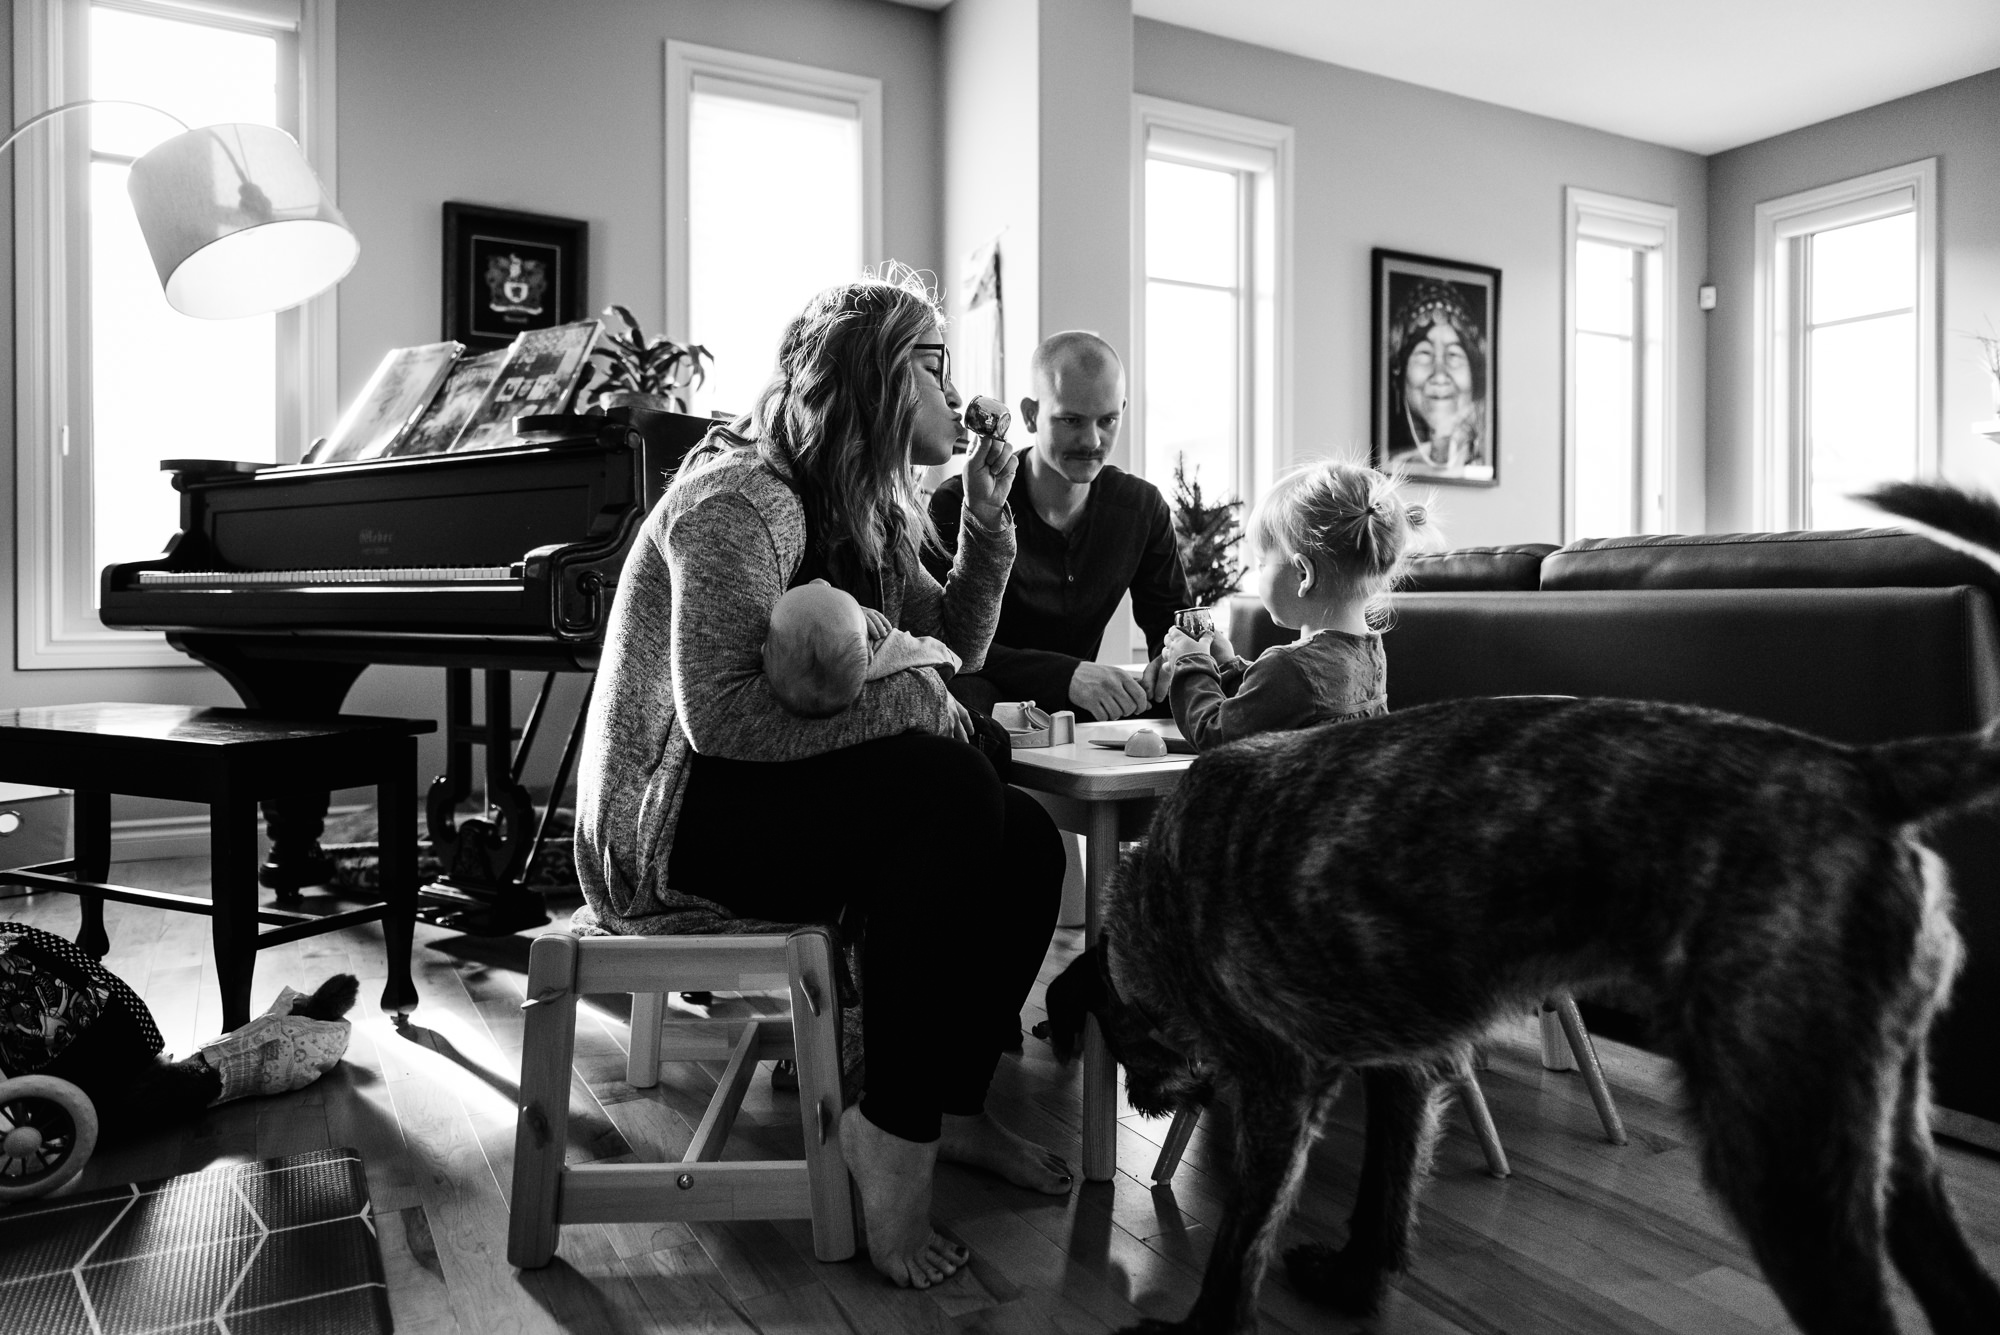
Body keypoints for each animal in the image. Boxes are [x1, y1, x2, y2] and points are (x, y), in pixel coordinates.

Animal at [1040, 695, 2000, 1327]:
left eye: (1119, 1038)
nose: (1140, 1102)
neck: (1157, 900)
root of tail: (1862, 771)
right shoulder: (1405, 1067)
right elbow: (1385, 1192)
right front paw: (1356, 1285)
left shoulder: (1280, 1092)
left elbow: (1241, 1242)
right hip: (1881, 1134)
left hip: (1781, 1158)